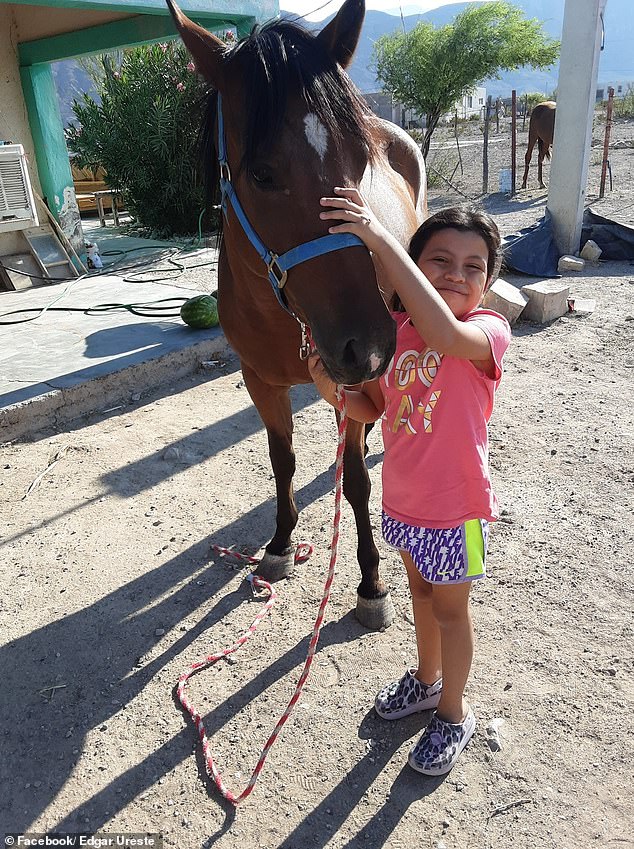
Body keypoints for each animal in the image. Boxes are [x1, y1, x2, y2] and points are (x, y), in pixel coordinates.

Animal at [167, 0, 424, 628]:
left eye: (359, 164)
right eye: (262, 173)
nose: (368, 344)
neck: (285, 315)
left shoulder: (347, 384)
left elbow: (356, 483)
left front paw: (371, 582)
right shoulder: (259, 379)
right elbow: (281, 461)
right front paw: (281, 545)